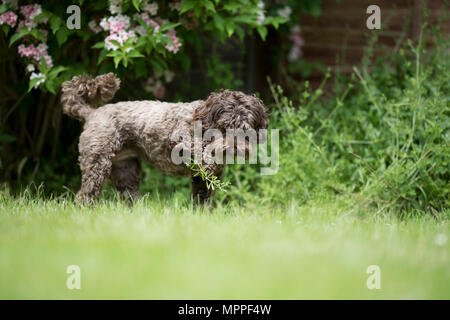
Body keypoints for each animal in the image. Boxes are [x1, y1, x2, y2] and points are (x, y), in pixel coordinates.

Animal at [61, 72, 268, 204]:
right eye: (224, 128)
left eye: (245, 130)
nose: (234, 148)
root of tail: (91, 113)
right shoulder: (178, 139)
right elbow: (195, 150)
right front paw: (205, 157)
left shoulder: (205, 181)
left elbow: (202, 202)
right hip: (97, 163)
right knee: (85, 195)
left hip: (125, 170)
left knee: (127, 197)